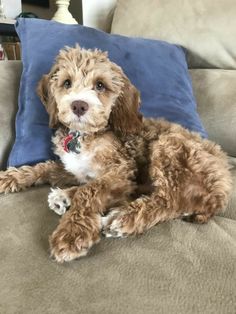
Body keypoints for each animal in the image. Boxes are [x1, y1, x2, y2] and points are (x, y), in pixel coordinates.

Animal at [0, 45, 232, 262]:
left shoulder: (122, 170)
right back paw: (64, 196)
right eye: (66, 83)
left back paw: (121, 218)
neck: (85, 135)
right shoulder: (75, 169)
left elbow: (89, 191)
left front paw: (72, 233)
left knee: (167, 201)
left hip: (169, 146)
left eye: (100, 85)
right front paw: (10, 177)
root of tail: (223, 186)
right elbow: (45, 167)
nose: (79, 105)